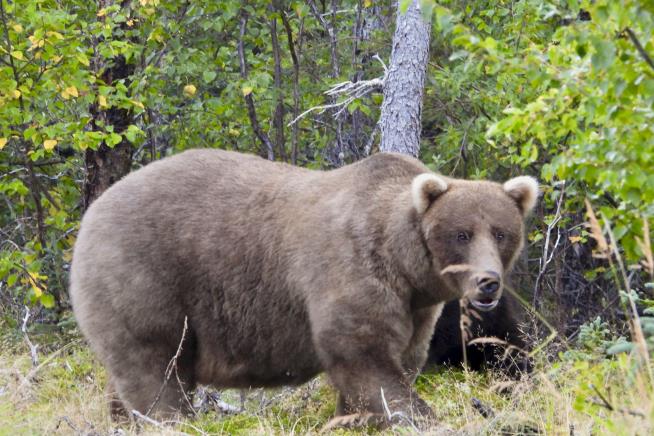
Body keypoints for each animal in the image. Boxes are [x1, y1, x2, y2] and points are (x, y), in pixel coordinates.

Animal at [69, 150, 540, 426]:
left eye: (501, 233)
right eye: (461, 233)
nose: (487, 282)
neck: (404, 265)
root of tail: (92, 211)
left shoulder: (416, 308)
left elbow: (401, 359)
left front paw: (352, 419)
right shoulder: (350, 270)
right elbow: (364, 357)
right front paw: (417, 416)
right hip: (146, 278)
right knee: (157, 372)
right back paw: (170, 420)